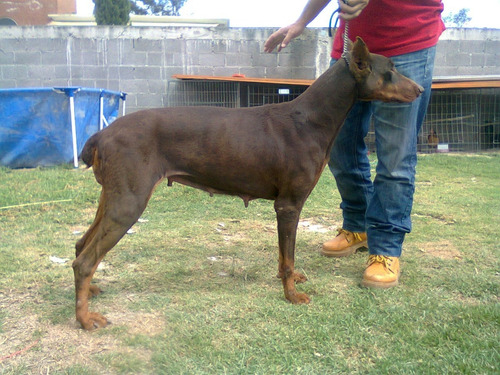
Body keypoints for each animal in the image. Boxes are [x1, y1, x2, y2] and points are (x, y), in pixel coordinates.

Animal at [71, 38, 422, 330]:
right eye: (391, 70)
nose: (419, 89)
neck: (311, 118)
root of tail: (101, 134)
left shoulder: (285, 207)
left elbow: (284, 256)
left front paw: (290, 280)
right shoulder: (289, 205)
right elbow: (288, 254)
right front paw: (291, 295)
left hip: (112, 197)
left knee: (81, 245)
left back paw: (91, 291)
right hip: (129, 202)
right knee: (84, 261)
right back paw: (85, 319)